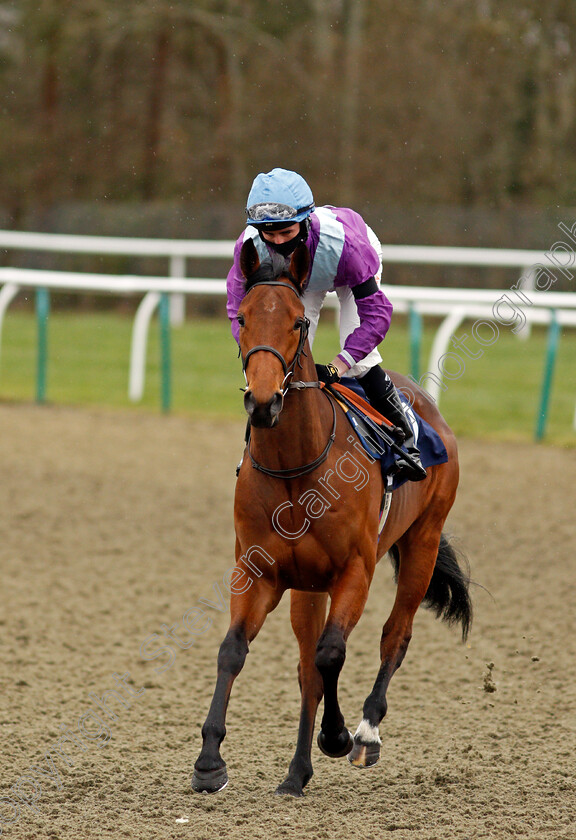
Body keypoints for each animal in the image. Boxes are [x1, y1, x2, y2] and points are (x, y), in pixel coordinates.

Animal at [191, 240, 470, 796]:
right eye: (243, 317)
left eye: (299, 321)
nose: (263, 402)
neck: (296, 466)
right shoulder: (258, 572)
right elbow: (236, 650)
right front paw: (210, 760)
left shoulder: (354, 571)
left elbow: (331, 654)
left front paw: (337, 736)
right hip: (308, 586)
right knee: (306, 670)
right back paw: (296, 773)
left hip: (423, 543)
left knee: (395, 635)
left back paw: (365, 733)